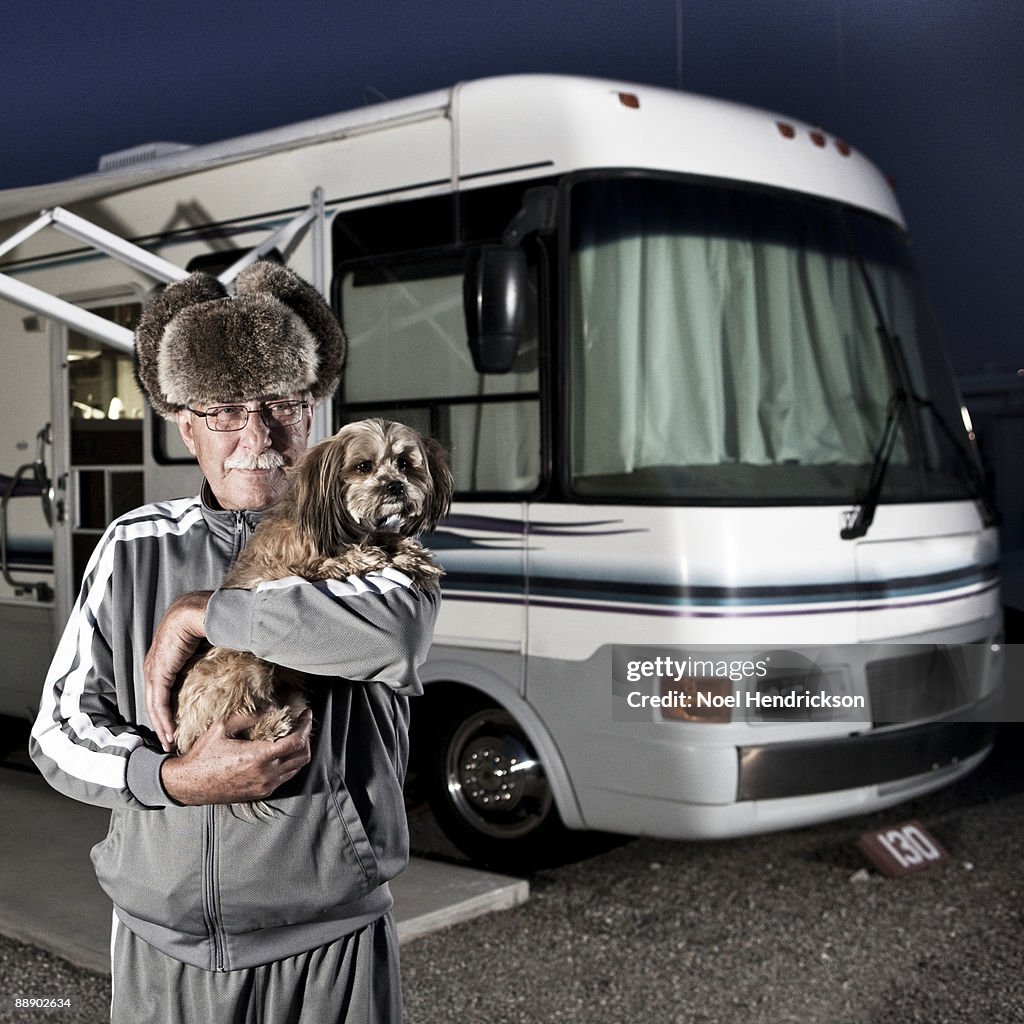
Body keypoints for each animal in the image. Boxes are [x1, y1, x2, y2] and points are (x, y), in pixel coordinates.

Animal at [172, 419, 452, 811]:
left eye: (405, 463)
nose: (395, 485)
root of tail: (183, 736)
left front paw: (414, 555)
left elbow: (386, 537)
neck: (343, 526)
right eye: (363, 466)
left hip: (291, 692)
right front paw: (379, 557)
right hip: (247, 668)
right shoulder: (296, 568)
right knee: (243, 725)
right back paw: (272, 727)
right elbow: (346, 559)